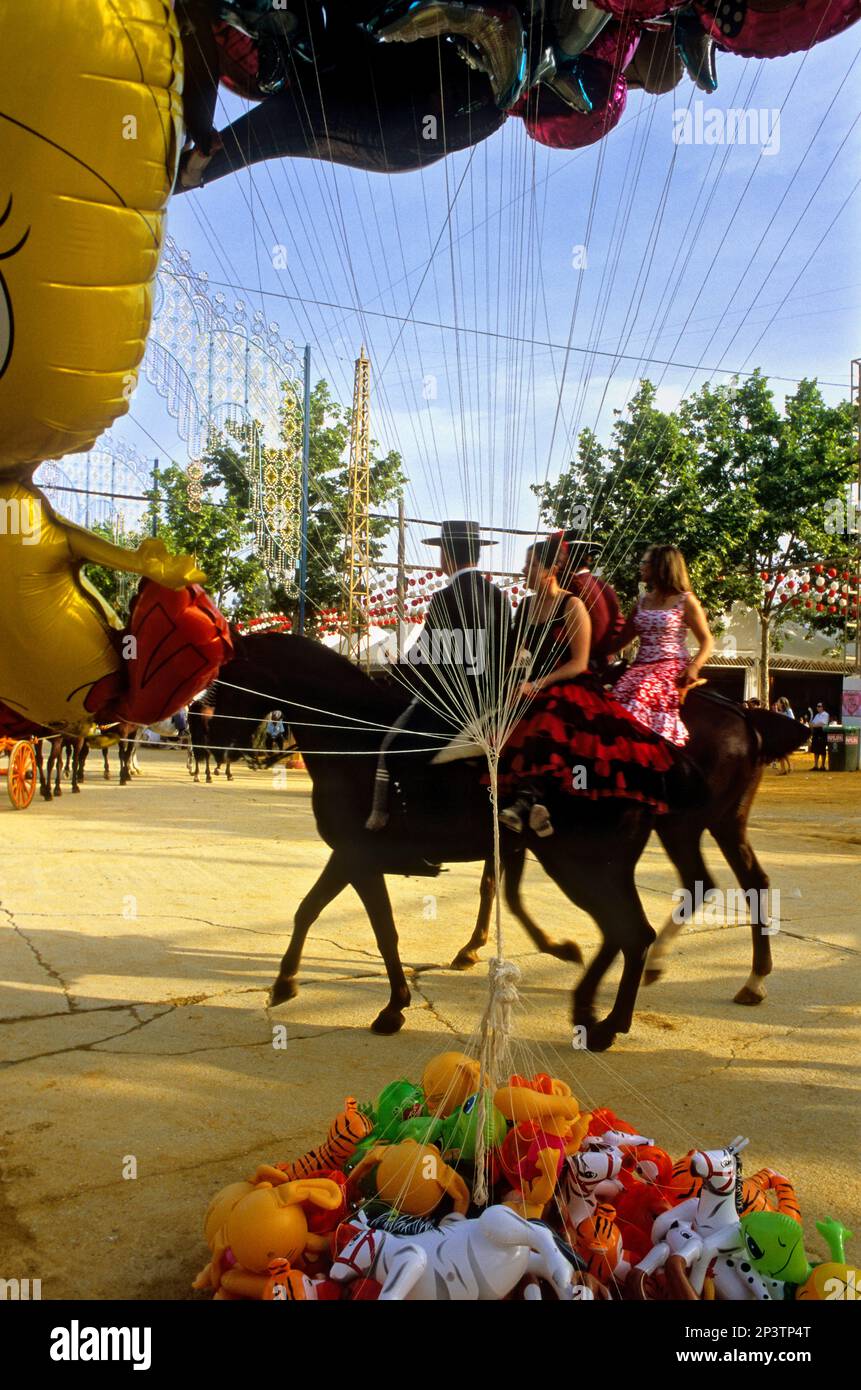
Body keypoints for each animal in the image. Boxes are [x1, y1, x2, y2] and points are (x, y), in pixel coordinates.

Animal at [212, 633, 703, 1050]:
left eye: (227, 677)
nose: (218, 744)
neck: (356, 738)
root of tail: (659, 763)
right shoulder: (355, 859)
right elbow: (326, 914)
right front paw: (294, 984)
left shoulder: (356, 856)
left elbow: (365, 926)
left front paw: (384, 1006)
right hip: (595, 868)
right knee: (621, 933)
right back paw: (588, 1009)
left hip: (582, 866)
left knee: (631, 934)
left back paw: (604, 1025)